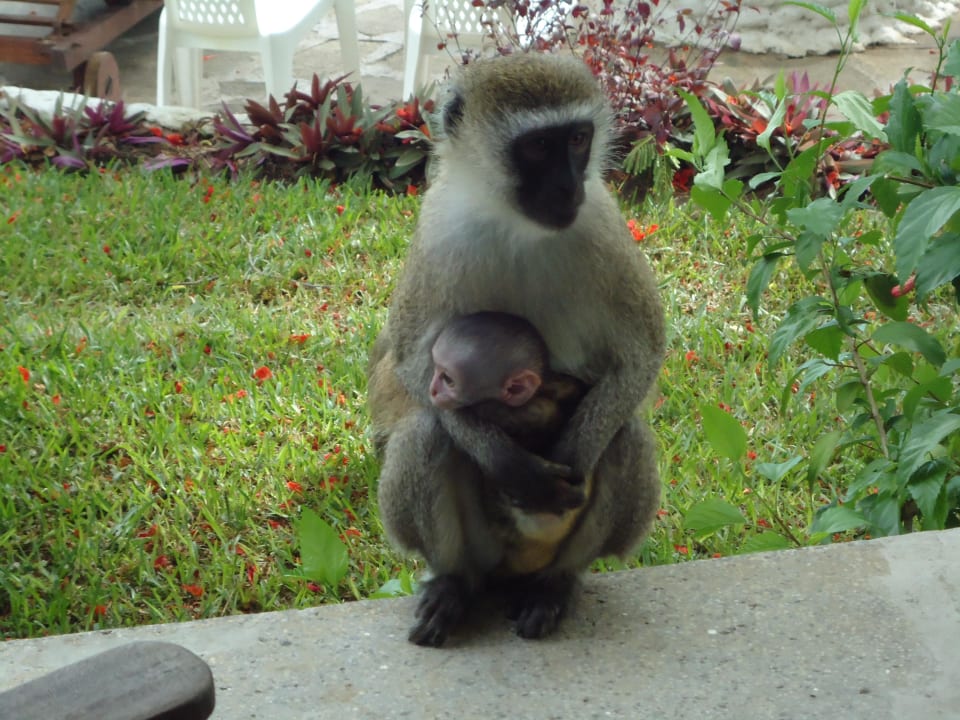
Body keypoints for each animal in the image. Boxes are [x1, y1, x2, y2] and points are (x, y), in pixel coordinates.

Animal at [368, 52, 665, 647]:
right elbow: (411, 365)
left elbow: (643, 352)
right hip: (483, 550)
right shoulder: (439, 230)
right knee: (426, 434)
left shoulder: (602, 222)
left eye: (577, 139)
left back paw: (553, 584)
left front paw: (573, 452)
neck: (515, 223)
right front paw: (508, 464)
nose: (568, 188)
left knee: (624, 435)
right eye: (537, 147)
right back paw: (455, 584)